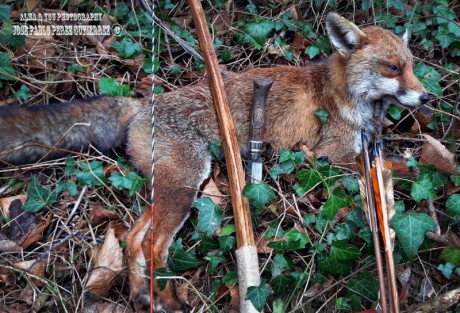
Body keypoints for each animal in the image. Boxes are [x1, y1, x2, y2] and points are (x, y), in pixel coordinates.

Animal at [0, 12, 428, 312]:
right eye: (392, 68)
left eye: (412, 65)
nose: (426, 97)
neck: (348, 97)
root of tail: (143, 105)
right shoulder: (328, 155)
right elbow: (399, 167)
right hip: (188, 182)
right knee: (151, 244)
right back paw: (165, 299)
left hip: (171, 186)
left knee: (133, 239)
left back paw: (143, 296)